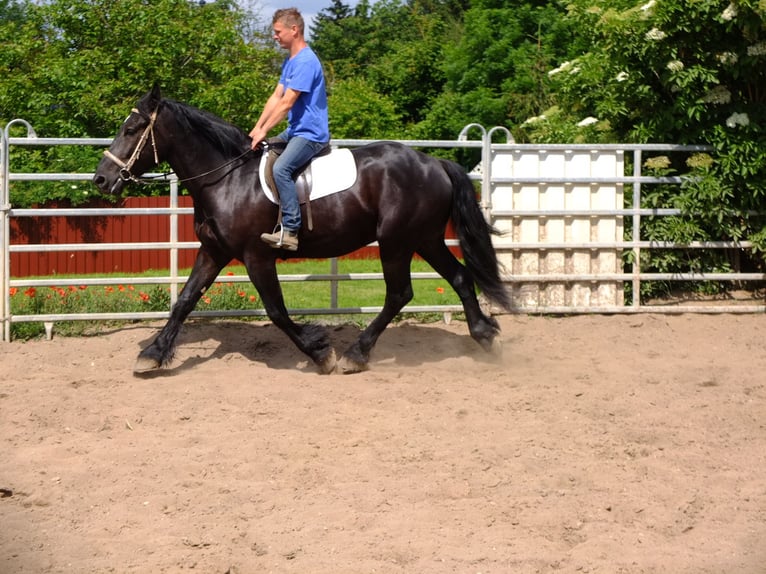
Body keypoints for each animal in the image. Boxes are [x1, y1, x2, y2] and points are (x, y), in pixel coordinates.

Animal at [93, 84, 512, 374]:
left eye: (132, 128)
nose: (101, 179)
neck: (227, 179)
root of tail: (433, 162)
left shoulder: (256, 256)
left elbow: (276, 311)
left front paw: (319, 351)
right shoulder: (213, 251)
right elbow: (184, 301)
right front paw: (152, 355)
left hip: (396, 241)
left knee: (400, 293)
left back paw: (356, 354)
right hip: (424, 238)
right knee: (459, 278)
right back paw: (484, 334)